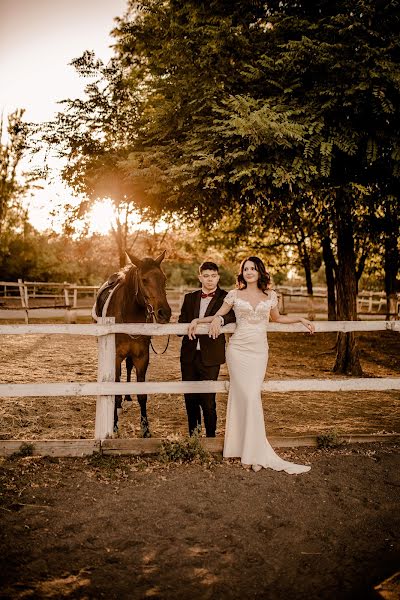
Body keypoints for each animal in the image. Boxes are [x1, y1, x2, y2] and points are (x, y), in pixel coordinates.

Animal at [94, 250, 172, 436]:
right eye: (144, 279)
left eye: (164, 279)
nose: (164, 313)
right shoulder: (115, 357)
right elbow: (114, 389)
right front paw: (114, 424)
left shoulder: (142, 356)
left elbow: (142, 395)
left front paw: (145, 429)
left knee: (128, 368)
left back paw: (127, 397)